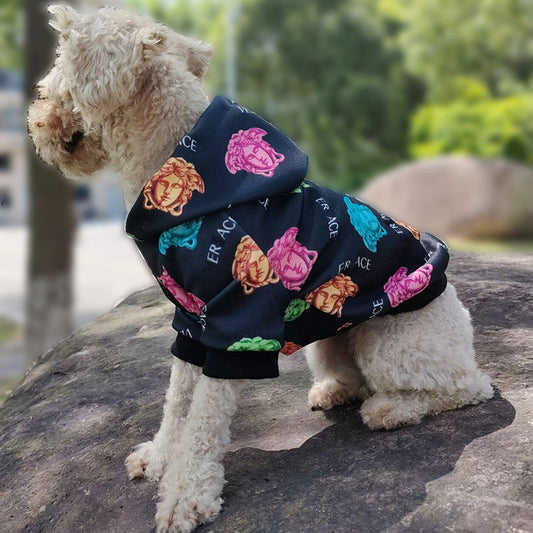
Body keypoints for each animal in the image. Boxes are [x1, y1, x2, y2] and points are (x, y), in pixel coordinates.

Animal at [28, 6, 494, 528]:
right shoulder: (191, 320)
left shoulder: (237, 321)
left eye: (54, 84)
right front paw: (160, 458)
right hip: (328, 343)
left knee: (464, 387)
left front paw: (186, 497)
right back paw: (334, 392)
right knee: (356, 376)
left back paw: (391, 409)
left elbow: (204, 418)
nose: (35, 122)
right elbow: (177, 399)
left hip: (392, 342)